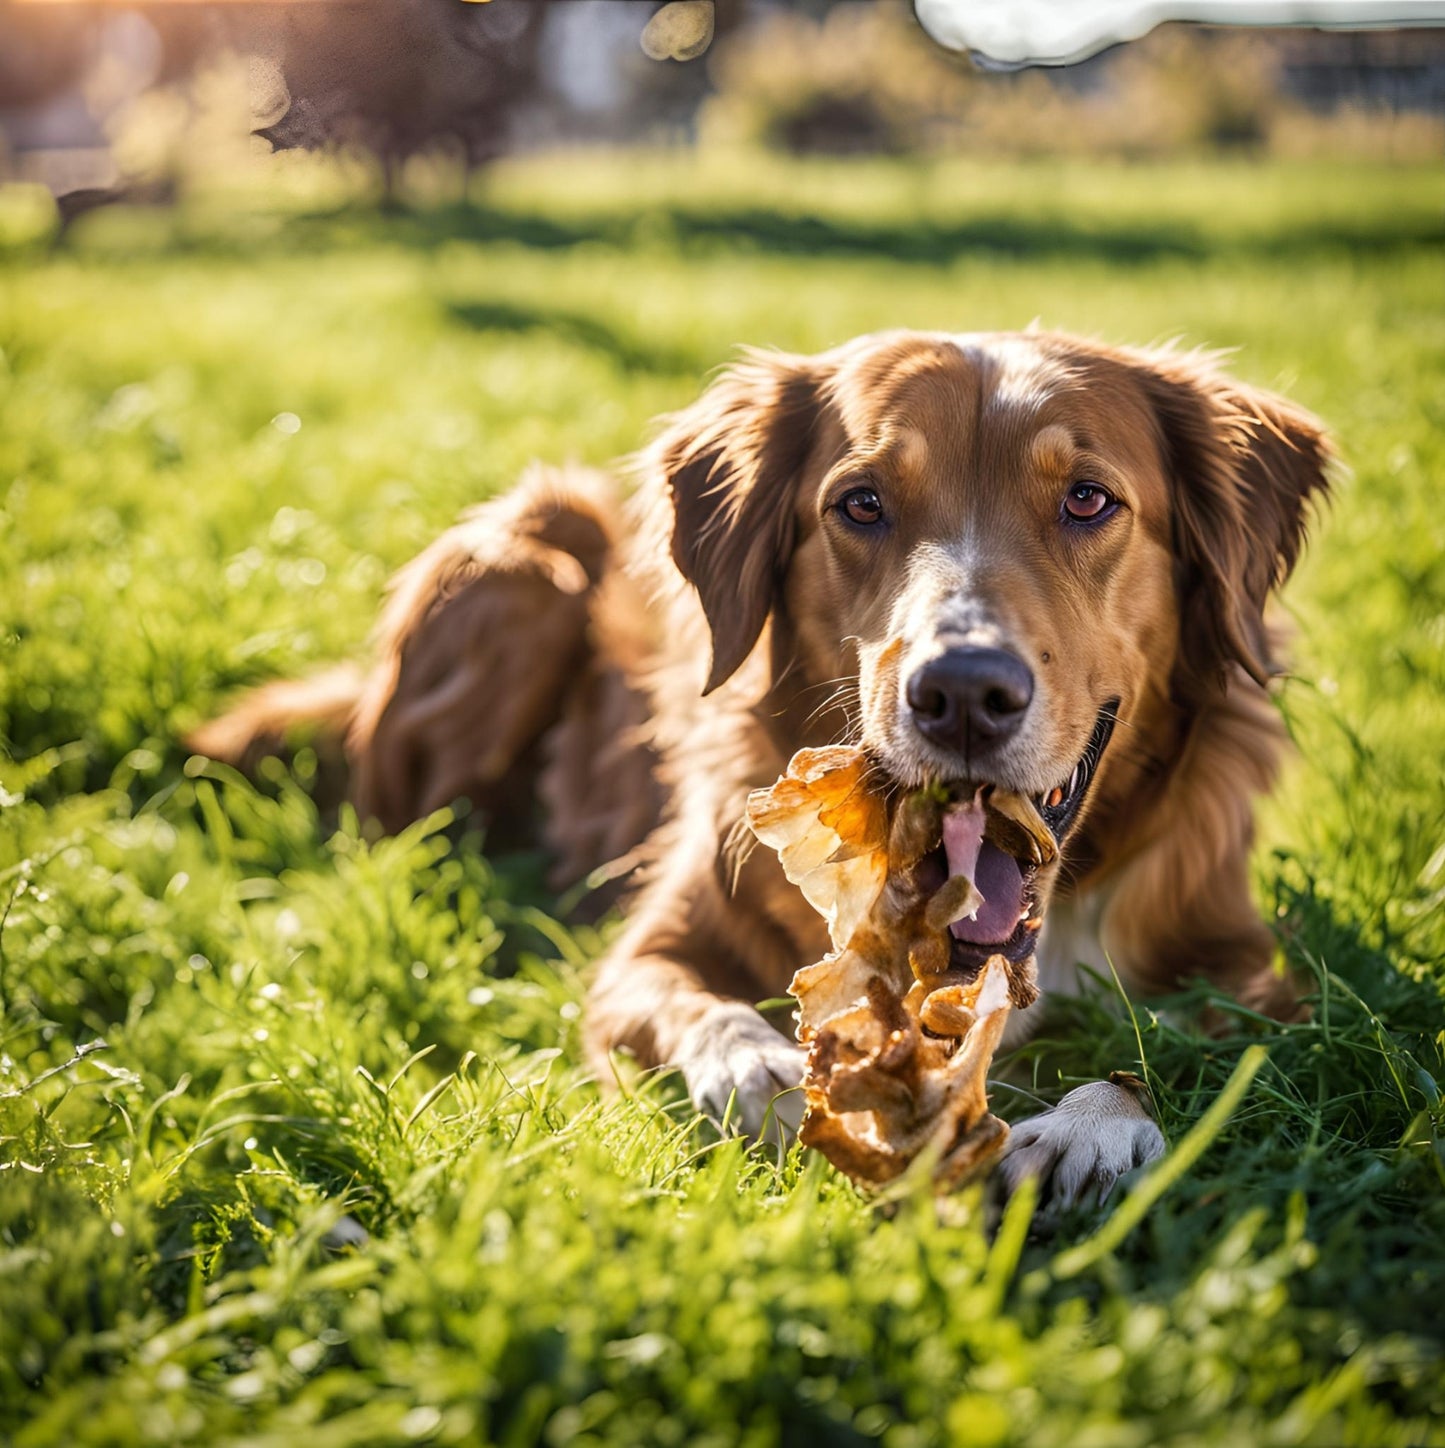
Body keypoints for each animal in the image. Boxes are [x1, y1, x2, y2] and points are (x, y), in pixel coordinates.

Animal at [192, 328, 1332, 1210]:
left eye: (1088, 500)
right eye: (861, 503)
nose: (962, 691)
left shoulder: (1270, 979)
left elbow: (1206, 1048)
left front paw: (1090, 1125)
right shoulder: (641, 956)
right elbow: (699, 1008)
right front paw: (766, 1075)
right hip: (529, 552)